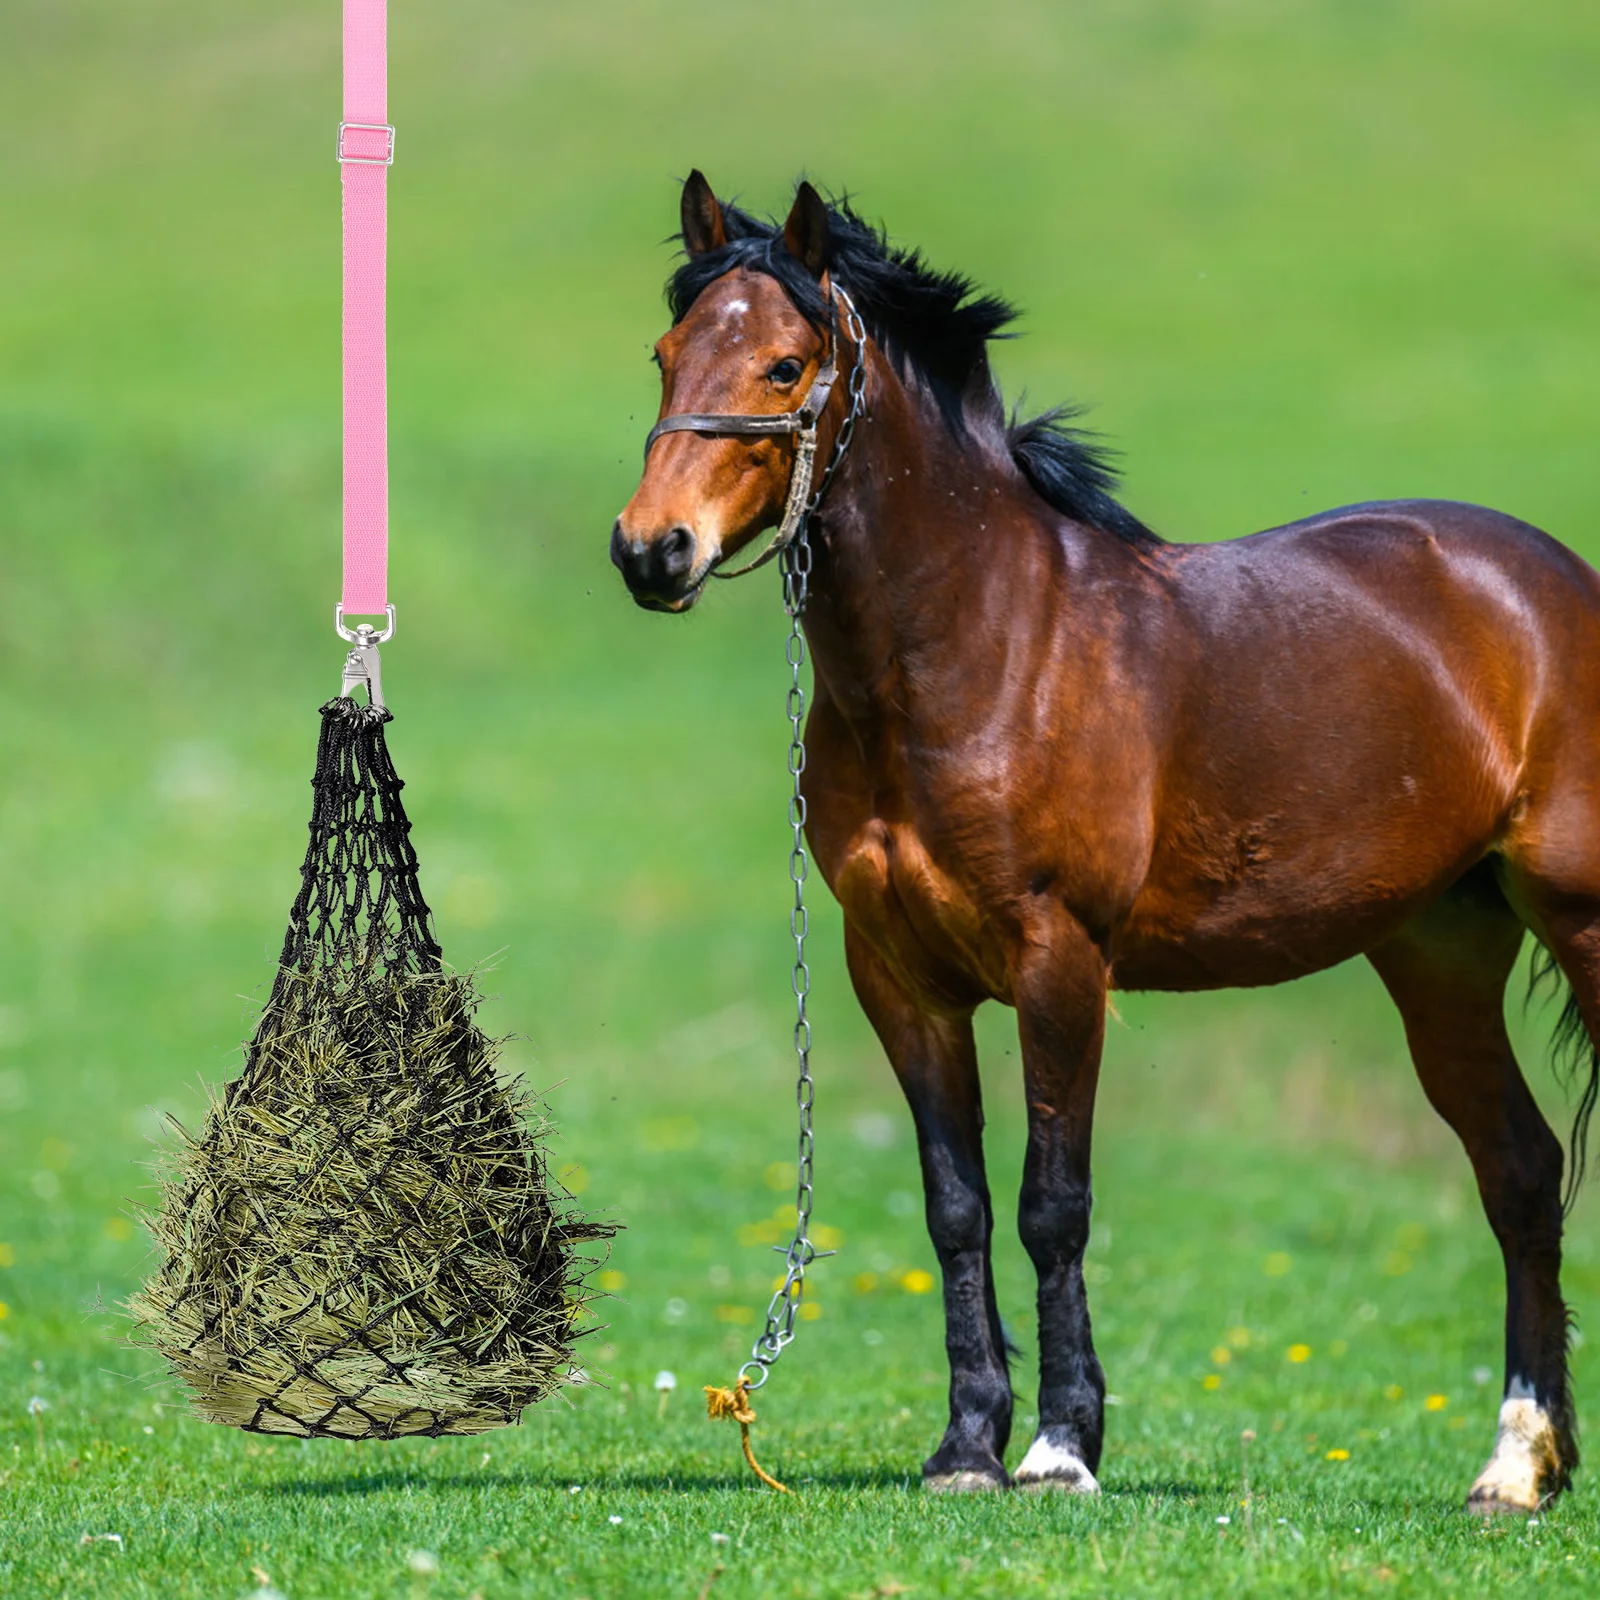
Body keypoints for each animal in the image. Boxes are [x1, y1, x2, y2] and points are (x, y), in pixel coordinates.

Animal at [610, 171, 1599, 1513]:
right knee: (1519, 1171)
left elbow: (1051, 1203)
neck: (981, 646)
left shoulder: (1059, 959)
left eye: (782, 364)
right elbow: (957, 1205)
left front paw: (1059, 1446)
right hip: (1439, 951)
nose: (649, 550)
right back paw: (1515, 1463)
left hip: (1579, 920)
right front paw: (966, 1446)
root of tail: (1548, 582)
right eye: (666, 354)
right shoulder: (898, 976)